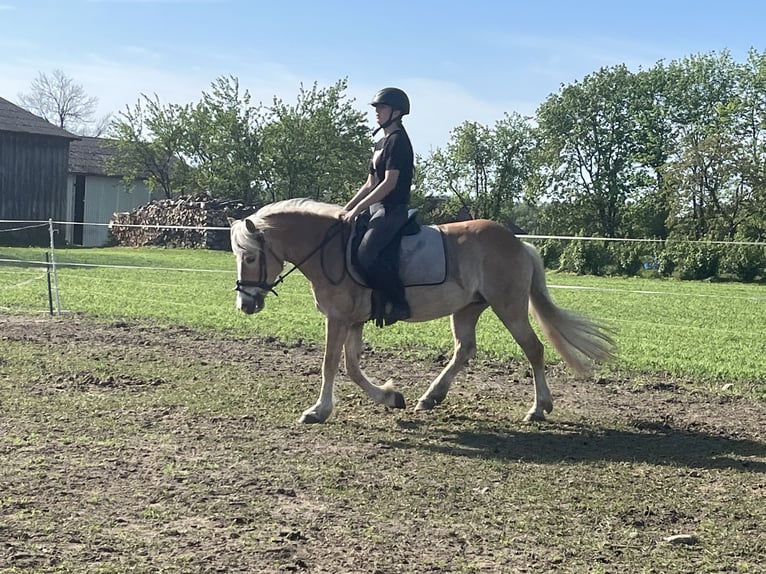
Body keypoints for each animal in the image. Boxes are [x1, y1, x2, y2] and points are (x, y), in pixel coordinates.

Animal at [230, 200, 616, 426]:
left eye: (250, 256)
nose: (245, 305)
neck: (331, 249)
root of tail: (518, 242)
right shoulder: (353, 321)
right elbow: (352, 368)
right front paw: (390, 396)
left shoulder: (338, 319)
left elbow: (329, 364)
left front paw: (317, 411)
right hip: (467, 309)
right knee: (465, 349)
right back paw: (432, 396)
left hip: (510, 307)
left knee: (533, 349)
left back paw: (538, 408)